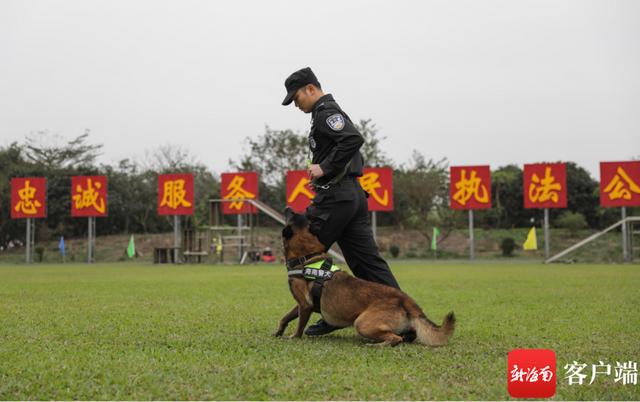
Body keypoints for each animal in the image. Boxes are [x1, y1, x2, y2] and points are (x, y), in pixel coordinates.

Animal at [276, 209, 456, 348]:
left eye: (291, 214)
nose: (287, 206)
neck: (306, 256)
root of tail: (404, 299)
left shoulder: (305, 305)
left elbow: (299, 327)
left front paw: (292, 338)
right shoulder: (301, 304)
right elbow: (285, 317)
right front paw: (278, 332)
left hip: (362, 323)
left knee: (395, 338)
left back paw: (376, 345)